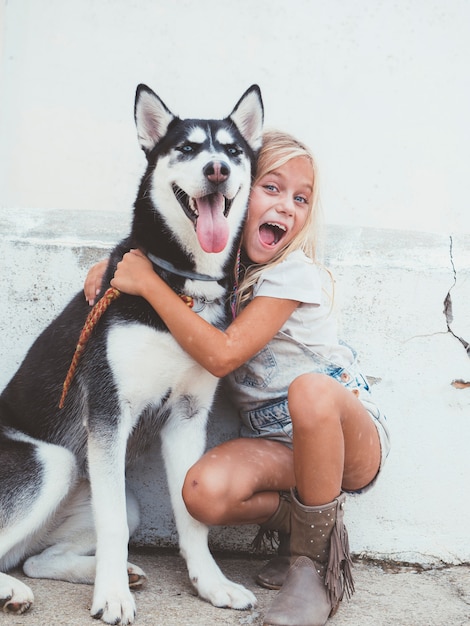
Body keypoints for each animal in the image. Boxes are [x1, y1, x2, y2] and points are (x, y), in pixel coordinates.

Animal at [0, 81, 264, 620]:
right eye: (187, 148)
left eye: (232, 150)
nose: (217, 169)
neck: (182, 287)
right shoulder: (108, 413)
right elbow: (113, 525)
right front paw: (112, 597)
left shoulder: (187, 416)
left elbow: (191, 518)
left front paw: (211, 584)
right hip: (53, 462)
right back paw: (20, 588)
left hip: (109, 491)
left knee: (34, 559)